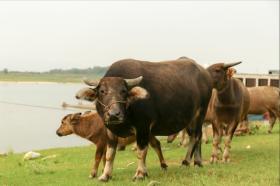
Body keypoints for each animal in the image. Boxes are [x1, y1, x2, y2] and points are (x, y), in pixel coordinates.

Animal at [76, 57, 212, 181]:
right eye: (102, 91)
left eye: (123, 91)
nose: (114, 114)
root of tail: (205, 74)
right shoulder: (110, 129)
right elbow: (110, 153)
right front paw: (105, 175)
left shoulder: (143, 127)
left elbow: (141, 151)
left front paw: (140, 174)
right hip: (190, 119)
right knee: (197, 136)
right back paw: (198, 162)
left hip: (200, 113)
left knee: (195, 136)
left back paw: (186, 162)